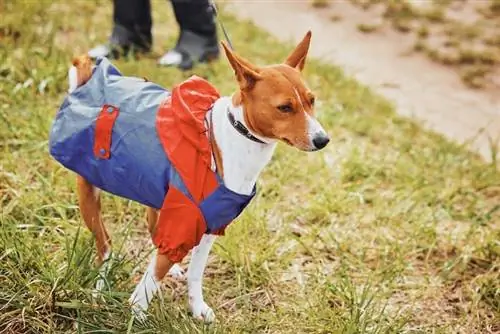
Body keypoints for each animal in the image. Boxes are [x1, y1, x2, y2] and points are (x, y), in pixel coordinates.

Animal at [50, 30, 330, 322]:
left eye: (311, 100)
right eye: (284, 108)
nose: (323, 140)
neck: (235, 139)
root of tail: (86, 82)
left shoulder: (210, 224)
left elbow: (195, 273)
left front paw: (196, 308)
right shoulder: (185, 219)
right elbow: (151, 280)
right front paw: (136, 315)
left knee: (152, 226)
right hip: (90, 193)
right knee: (105, 245)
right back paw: (100, 286)